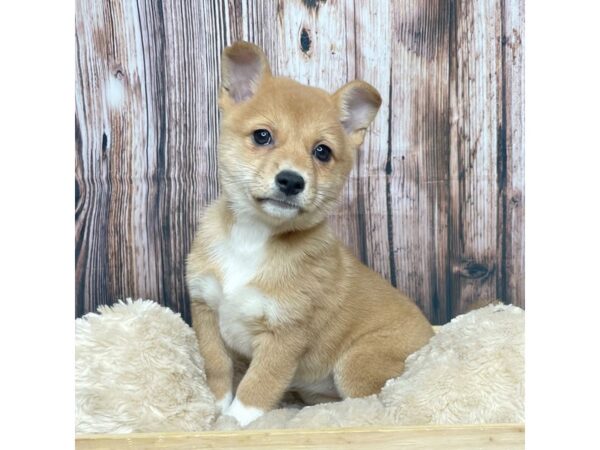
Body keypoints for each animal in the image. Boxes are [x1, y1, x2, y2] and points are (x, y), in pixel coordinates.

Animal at [185, 41, 434, 426]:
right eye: (262, 136)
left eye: (322, 152)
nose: (291, 180)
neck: (253, 240)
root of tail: (434, 338)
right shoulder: (206, 312)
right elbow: (218, 372)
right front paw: (215, 412)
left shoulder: (284, 335)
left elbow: (255, 389)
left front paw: (232, 425)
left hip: (356, 364)